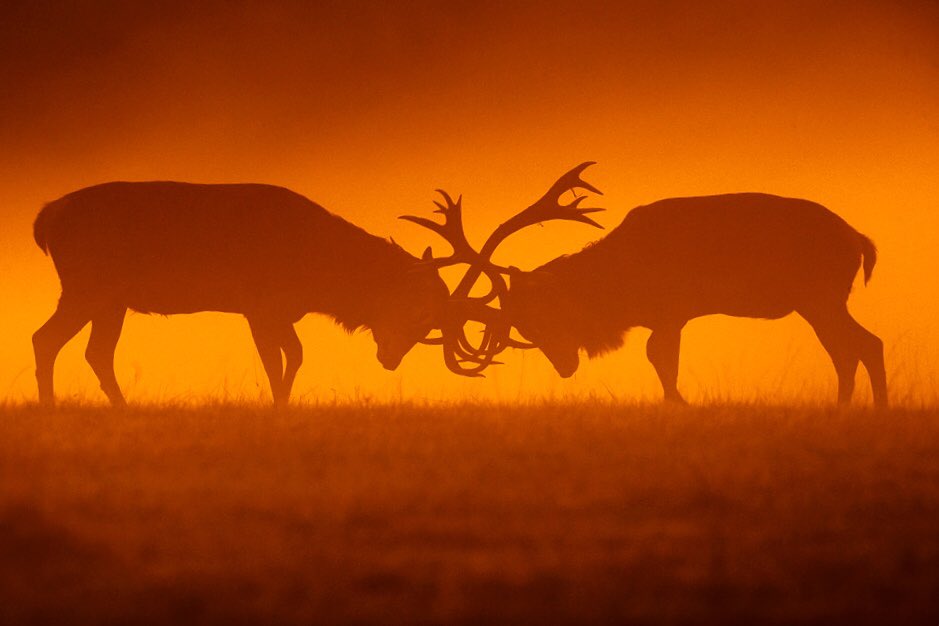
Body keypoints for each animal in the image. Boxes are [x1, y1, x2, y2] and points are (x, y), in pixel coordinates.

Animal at [33, 180, 452, 404]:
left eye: (432, 322)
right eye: (419, 308)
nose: (391, 359)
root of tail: (46, 218)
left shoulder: (278, 311)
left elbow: (294, 354)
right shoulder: (258, 305)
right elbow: (276, 360)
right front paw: (278, 405)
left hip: (111, 301)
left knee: (95, 353)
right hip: (86, 288)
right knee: (45, 338)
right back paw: (50, 406)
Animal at [406, 161, 888, 408]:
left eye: (541, 315)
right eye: (525, 327)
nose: (564, 366)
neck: (623, 284)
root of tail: (860, 241)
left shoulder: (671, 311)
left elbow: (660, 359)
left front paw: (680, 404)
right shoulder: (668, 316)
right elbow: (660, 360)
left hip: (821, 296)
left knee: (862, 346)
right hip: (820, 301)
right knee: (853, 349)